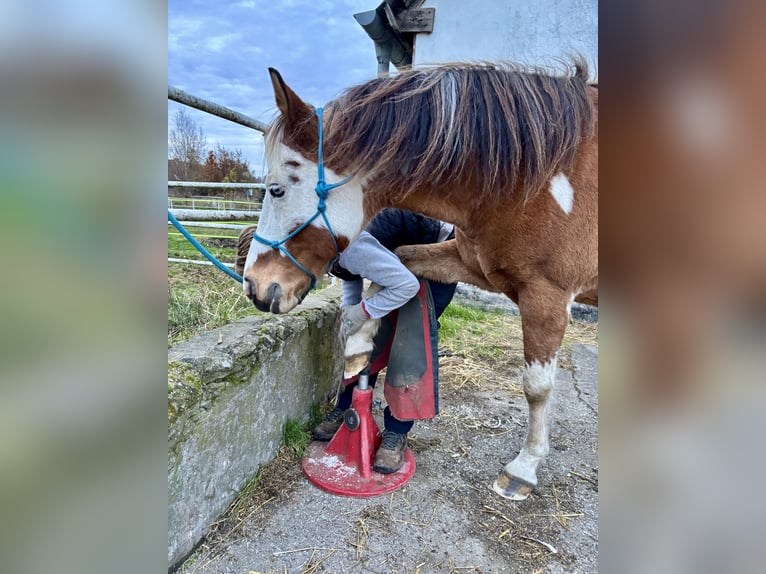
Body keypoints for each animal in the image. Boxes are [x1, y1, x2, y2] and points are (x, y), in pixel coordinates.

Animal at [241, 60, 598, 500]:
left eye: (275, 189)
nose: (255, 287)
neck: (531, 177)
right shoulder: (466, 262)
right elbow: (401, 263)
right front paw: (360, 343)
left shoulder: (546, 293)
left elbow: (536, 386)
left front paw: (523, 469)